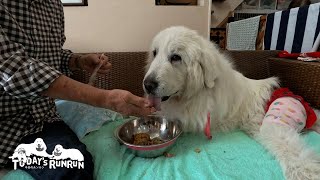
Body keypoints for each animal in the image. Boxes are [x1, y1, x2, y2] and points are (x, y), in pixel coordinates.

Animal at [144, 26, 320, 180]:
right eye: (155, 53)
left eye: (176, 57)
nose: (147, 85)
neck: (199, 91)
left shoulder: (193, 118)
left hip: (272, 125)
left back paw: (307, 172)